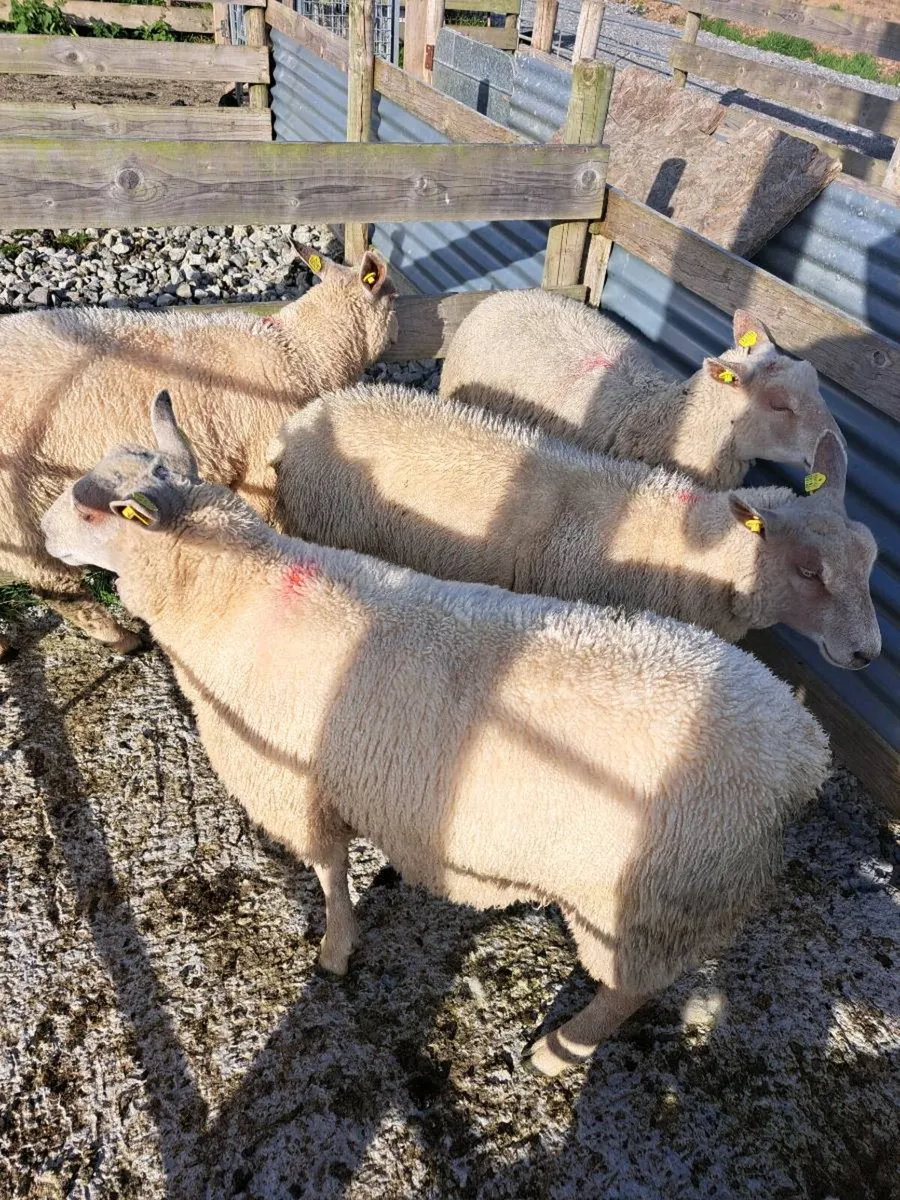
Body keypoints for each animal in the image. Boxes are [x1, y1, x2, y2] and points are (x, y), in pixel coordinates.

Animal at [0, 246, 397, 659]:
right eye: (395, 297)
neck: (301, 354)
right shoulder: (262, 465)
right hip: (14, 512)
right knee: (57, 588)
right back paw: (121, 639)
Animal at [41, 390, 831, 1077]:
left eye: (89, 510)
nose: (43, 531)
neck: (231, 592)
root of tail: (802, 756)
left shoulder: (292, 783)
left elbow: (328, 872)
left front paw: (336, 949)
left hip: (641, 909)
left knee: (631, 991)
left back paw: (558, 1052)